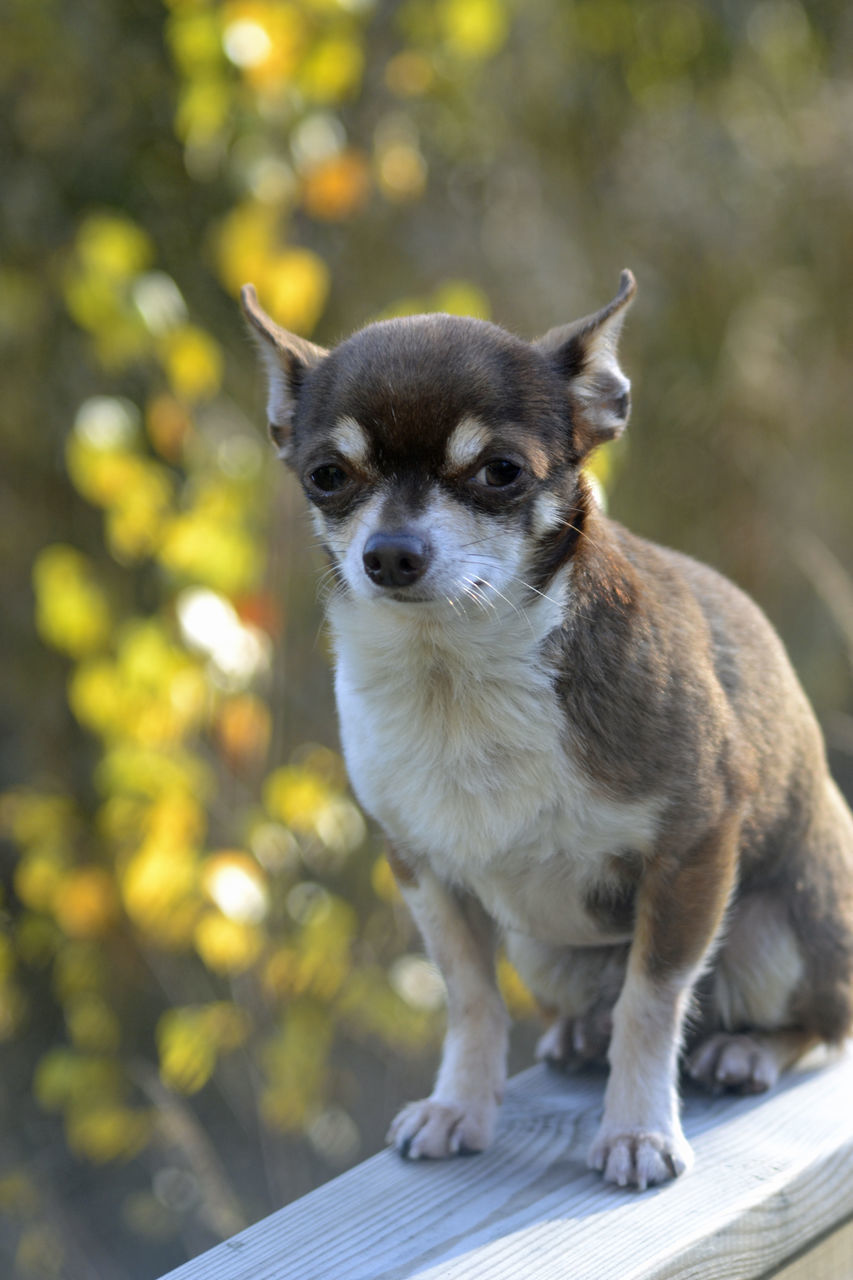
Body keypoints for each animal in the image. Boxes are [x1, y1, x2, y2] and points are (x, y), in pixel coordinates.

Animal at [239, 272, 850, 1187]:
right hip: (544, 950)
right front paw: (459, 1105)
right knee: (588, 999)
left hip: (777, 933)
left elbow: (651, 1000)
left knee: (815, 1022)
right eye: (326, 475)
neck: (455, 680)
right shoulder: (424, 872)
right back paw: (579, 1032)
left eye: (500, 473)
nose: (391, 553)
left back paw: (746, 1051)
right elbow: (470, 999)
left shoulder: (692, 851)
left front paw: (637, 1130)